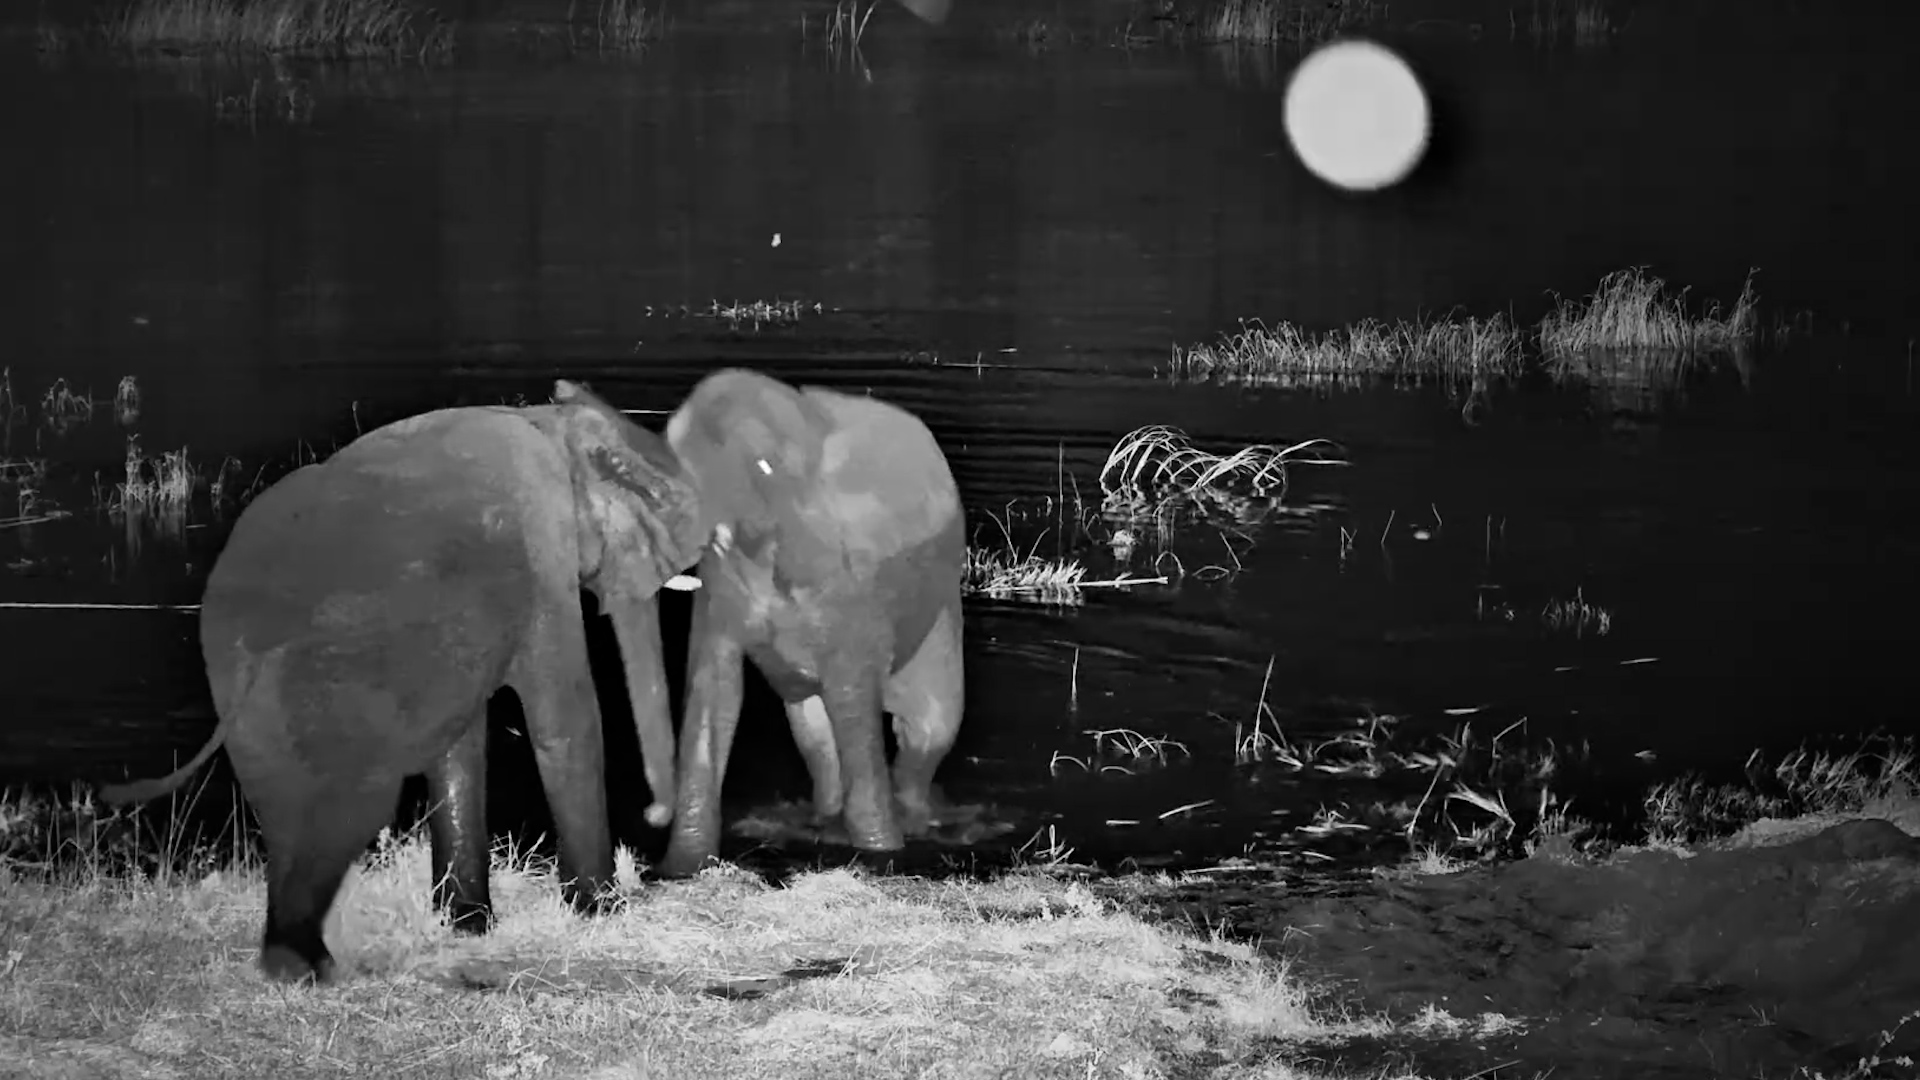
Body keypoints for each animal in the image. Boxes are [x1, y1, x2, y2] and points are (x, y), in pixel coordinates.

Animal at [98, 380, 707, 984]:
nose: (654, 834)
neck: (545, 420)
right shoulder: (543, 548)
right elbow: (568, 720)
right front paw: (603, 911)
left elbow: (459, 746)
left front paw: (467, 923)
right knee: (348, 797)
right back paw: (311, 967)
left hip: (234, 666)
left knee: (283, 796)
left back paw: (292, 964)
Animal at [654, 368, 967, 879]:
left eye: (761, 466)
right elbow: (715, 687)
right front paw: (681, 868)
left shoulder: (850, 583)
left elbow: (854, 704)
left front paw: (882, 854)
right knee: (815, 732)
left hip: (940, 604)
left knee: (928, 727)